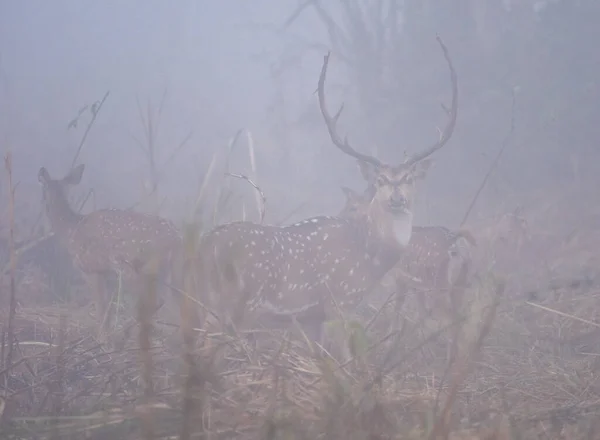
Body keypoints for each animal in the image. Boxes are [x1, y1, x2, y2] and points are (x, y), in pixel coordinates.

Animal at [38, 165, 180, 334]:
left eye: (43, 192)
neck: (70, 230)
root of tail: (176, 238)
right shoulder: (106, 273)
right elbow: (108, 310)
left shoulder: (90, 269)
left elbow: (101, 309)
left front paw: (102, 336)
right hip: (169, 272)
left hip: (133, 267)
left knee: (154, 301)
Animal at [190, 36, 458, 344]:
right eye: (380, 180)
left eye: (409, 178)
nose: (397, 198)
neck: (371, 258)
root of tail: (204, 247)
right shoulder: (340, 300)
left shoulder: (312, 318)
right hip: (236, 304)